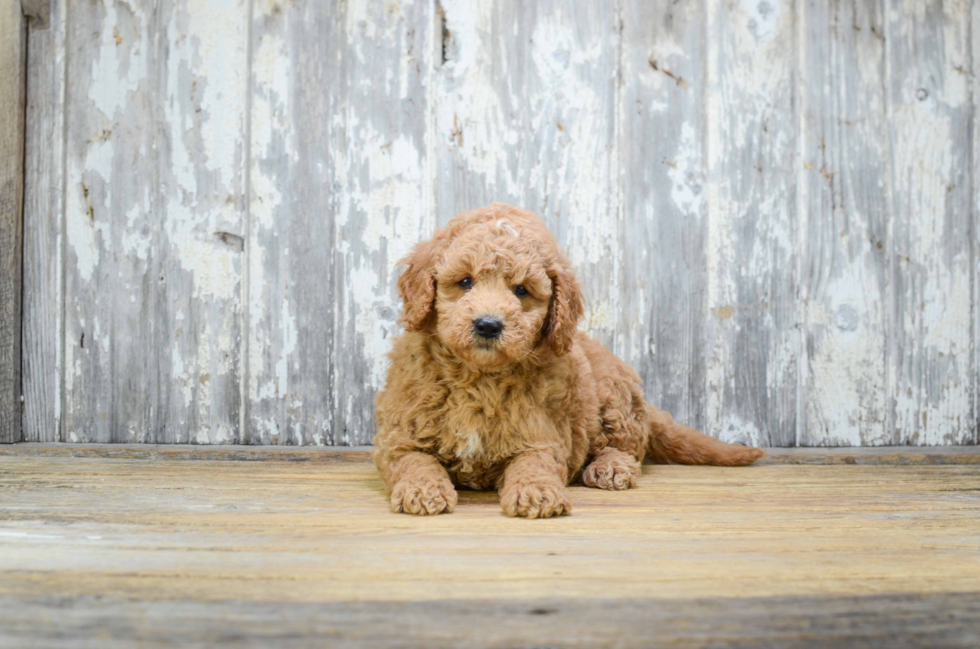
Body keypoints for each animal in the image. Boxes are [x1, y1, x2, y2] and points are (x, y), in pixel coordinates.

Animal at [376, 202, 764, 516]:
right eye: (465, 282)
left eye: (521, 290)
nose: (488, 324)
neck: (480, 377)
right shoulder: (400, 436)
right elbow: (414, 460)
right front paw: (422, 489)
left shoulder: (542, 436)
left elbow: (534, 463)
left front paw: (536, 492)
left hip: (614, 401)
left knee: (625, 448)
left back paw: (610, 468)